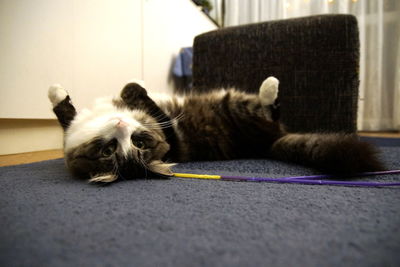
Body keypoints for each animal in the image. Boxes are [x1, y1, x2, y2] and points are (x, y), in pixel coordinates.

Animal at [48, 76, 382, 183]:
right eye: (109, 151)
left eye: (139, 143)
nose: (120, 123)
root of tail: (272, 142)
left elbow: (65, 109)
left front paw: (54, 90)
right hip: (238, 106)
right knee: (270, 110)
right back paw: (270, 86)